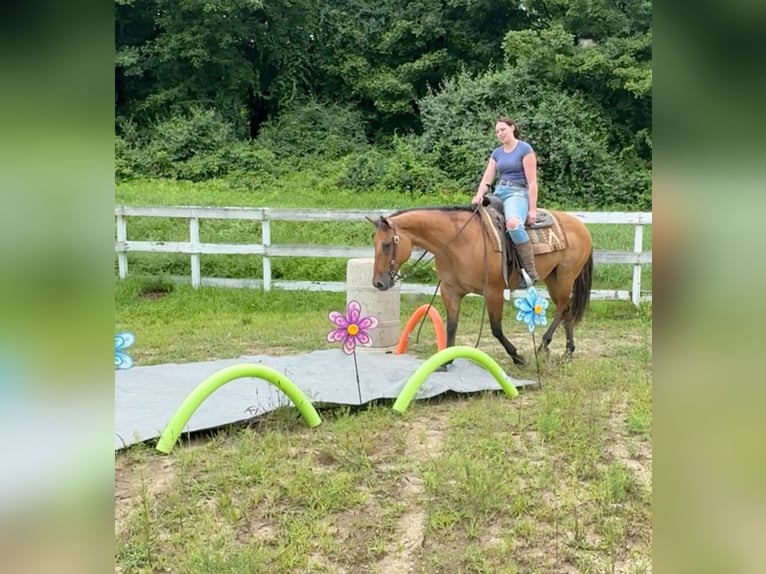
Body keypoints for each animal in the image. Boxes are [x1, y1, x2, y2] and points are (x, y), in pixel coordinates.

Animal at [368, 207, 596, 366]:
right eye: (375, 244)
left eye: (387, 245)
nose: (378, 283)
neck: (458, 242)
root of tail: (581, 225)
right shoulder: (450, 291)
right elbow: (451, 325)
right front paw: (446, 360)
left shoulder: (493, 291)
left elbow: (496, 329)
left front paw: (518, 357)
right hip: (552, 277)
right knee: (566, 308)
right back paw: (567, 351)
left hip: (566, 276)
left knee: (562, 306)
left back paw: (543, 345)